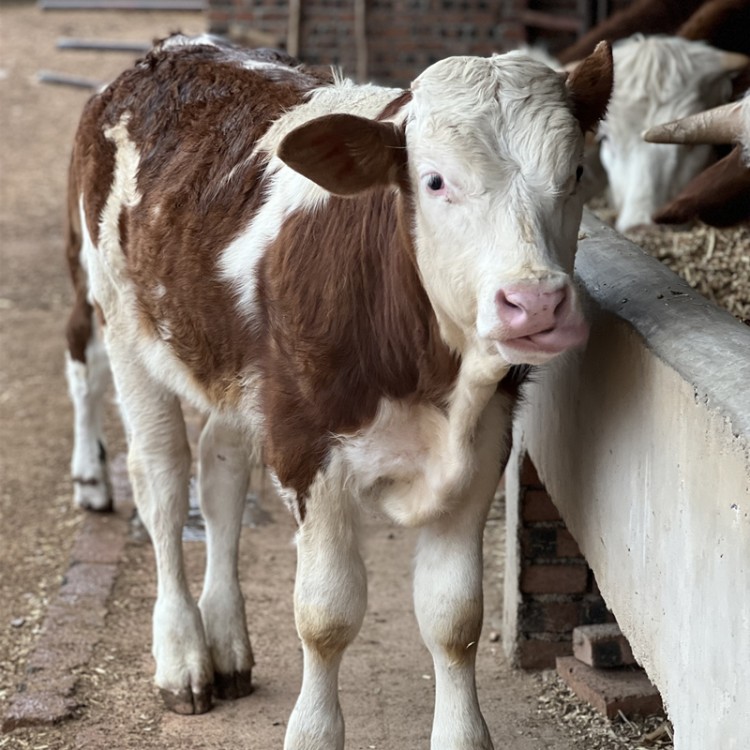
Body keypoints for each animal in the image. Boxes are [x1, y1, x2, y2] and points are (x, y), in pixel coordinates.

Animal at [66, 36, 612, 750]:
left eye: (575, 172)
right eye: (435, 181)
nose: (536, 303)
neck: (432, 378)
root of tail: (167, 51)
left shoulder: (483, 447)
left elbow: (455, 618)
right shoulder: (306, 445)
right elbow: (325, 617)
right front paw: (313, 731)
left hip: (240, 371)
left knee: (219, 473)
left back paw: (227, 642)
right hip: (124, 322)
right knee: (160, 479)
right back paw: (183, 656)